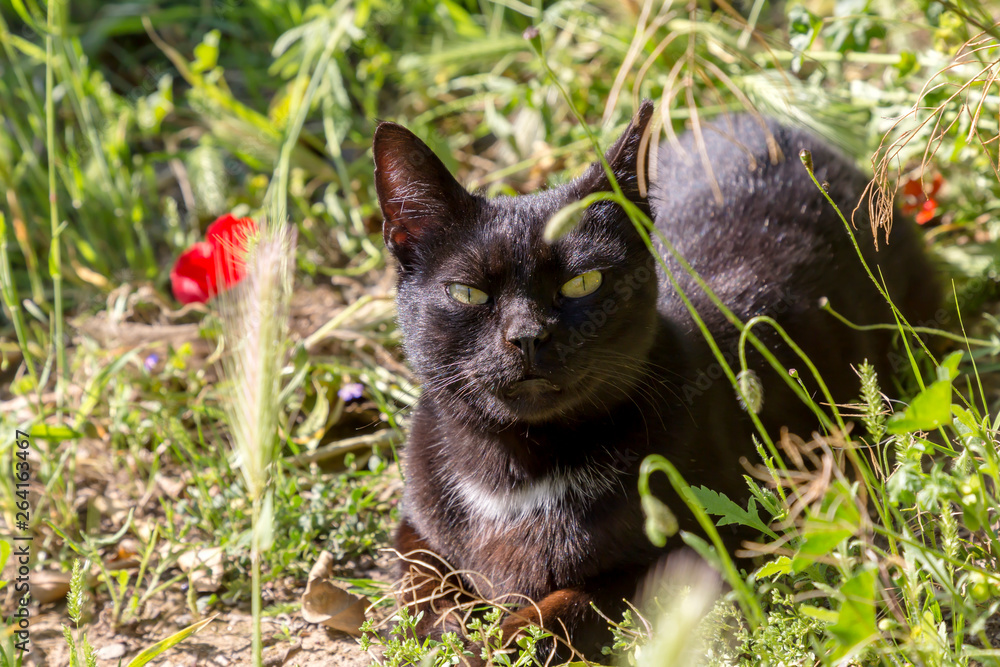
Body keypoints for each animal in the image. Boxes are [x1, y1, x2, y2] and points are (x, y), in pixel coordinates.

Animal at [372, 104, 940, 664]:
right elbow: (421, 578)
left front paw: (495, 645)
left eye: (582, 283)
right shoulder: (415, 520)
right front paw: (448, 631)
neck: (518, 468)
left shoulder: (712, 546)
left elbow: (569, 607)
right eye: (467, 293)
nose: (527, 336)